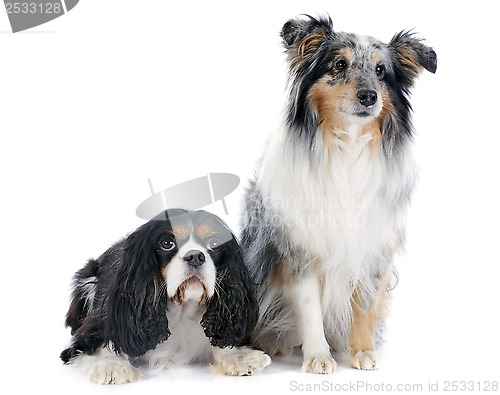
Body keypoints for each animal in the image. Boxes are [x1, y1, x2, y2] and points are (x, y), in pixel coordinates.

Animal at [61, 210, 270, 384]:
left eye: (214, 244)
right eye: (167, 243)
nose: (196, 256)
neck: (181, 310)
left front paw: (239, 356)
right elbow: (97, 342)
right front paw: (111, 364)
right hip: (87, 281)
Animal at [240, 15, 436, 374]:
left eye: (381, 71)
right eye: (339, 64)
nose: (369, 96)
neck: (348, 145)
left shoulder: (373, 247)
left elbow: (365, 304)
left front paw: (364, 351)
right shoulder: (300, 251)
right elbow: (310, 310)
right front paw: (318, 356)